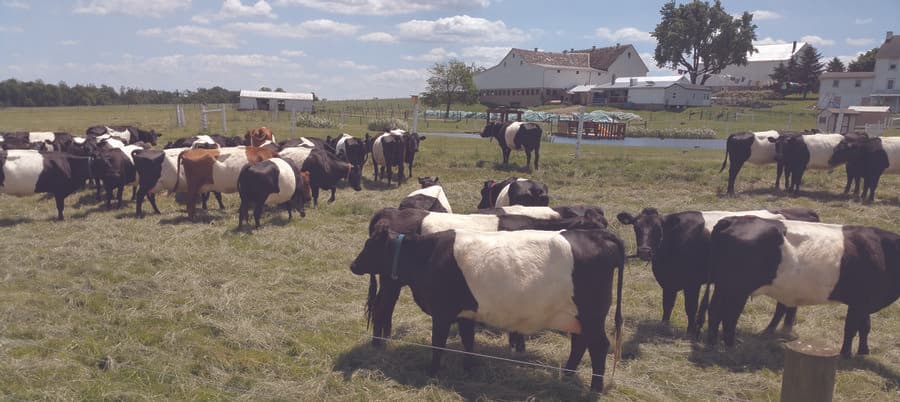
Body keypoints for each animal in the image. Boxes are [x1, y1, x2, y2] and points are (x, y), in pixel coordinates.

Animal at [351, 223, 625, 392]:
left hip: (592, 314)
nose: (353, 264)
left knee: (599, 346)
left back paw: (594, 388)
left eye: (368, 245)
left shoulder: (442, 312)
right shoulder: (465, 312)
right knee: (580, 343)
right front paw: (469, 368)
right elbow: (468, 341)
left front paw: (432, 371)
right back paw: (566, 376)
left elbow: (438, 344)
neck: (427, 255)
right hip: (577, 317)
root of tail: (600, 235)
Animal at [363, 207, 609, 353]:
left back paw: (386, 338)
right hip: (390, 280)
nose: (607, 235)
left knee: (386, 306)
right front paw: (518, 347)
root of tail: (390, 211)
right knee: (382, 307)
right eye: (593, 225)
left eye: (603, 222)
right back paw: (378, 344)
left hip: (393, 280)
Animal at [616, 207, 820, 338]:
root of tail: (805, 211)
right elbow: (667, 305)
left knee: (784, 306)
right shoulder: (669, 281)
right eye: (636, 227)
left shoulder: (692, 282)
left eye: (658, 229)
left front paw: (690, 331)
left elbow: (690, 307)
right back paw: (774, 331)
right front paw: (664, 326)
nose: (644, 251)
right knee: (786, 305)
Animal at [704, 216, 900, 357]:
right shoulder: (859, 300)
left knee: (714, 310)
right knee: (729, 315)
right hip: (737, 289)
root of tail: (732, 220)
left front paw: (863, 352)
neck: (882, 249)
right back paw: (731, 346)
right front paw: (846, 355)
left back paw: (712, 344)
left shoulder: (865, 302)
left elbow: (865, 326)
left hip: (724, 286)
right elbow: (851, 328)